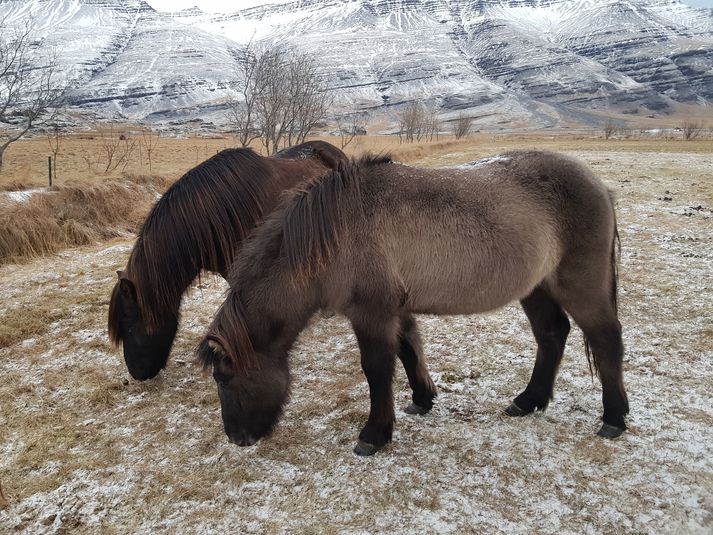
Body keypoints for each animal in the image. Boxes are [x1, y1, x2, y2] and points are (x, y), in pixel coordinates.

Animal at [197, 150, 624, 456]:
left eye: (224, 378)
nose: (237, 438)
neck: (336, 230)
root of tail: (598, 185)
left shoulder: (371, 313)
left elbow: (377, 369)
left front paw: (374, 434)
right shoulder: (394, 310)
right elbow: (408, 351)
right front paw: (422, 400)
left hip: (580, 285)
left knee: (607, 339)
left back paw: (614, 418)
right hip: (535, 288)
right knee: (552, 334)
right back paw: (528, 401)